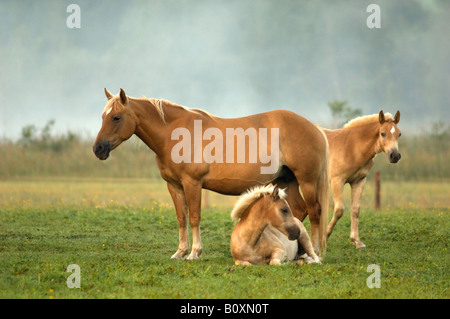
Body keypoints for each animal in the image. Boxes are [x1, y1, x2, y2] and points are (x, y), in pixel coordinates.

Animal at [93, 89, 328, 262]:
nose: (98, 149)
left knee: (315, 212)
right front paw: (180, 252)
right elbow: (181, 217)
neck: (174, 134)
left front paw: (194, 252)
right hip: (287, 181)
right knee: (300, 210)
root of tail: (316, 128)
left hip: (306, 181)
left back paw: (315, 251)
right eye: (103, 116)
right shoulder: (174, 185)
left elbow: (194, 217)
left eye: (116, 117)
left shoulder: (192, 183)